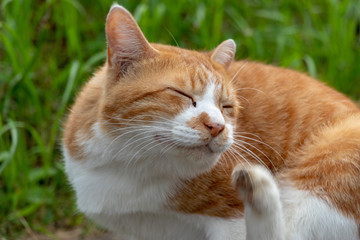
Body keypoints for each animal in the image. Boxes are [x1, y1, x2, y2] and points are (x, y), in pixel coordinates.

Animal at [62, 3, 360, 240]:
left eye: (226, 107)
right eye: (182, 94)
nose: (217, 126)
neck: (127, 164)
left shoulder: (230, 222)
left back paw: (258, 189)